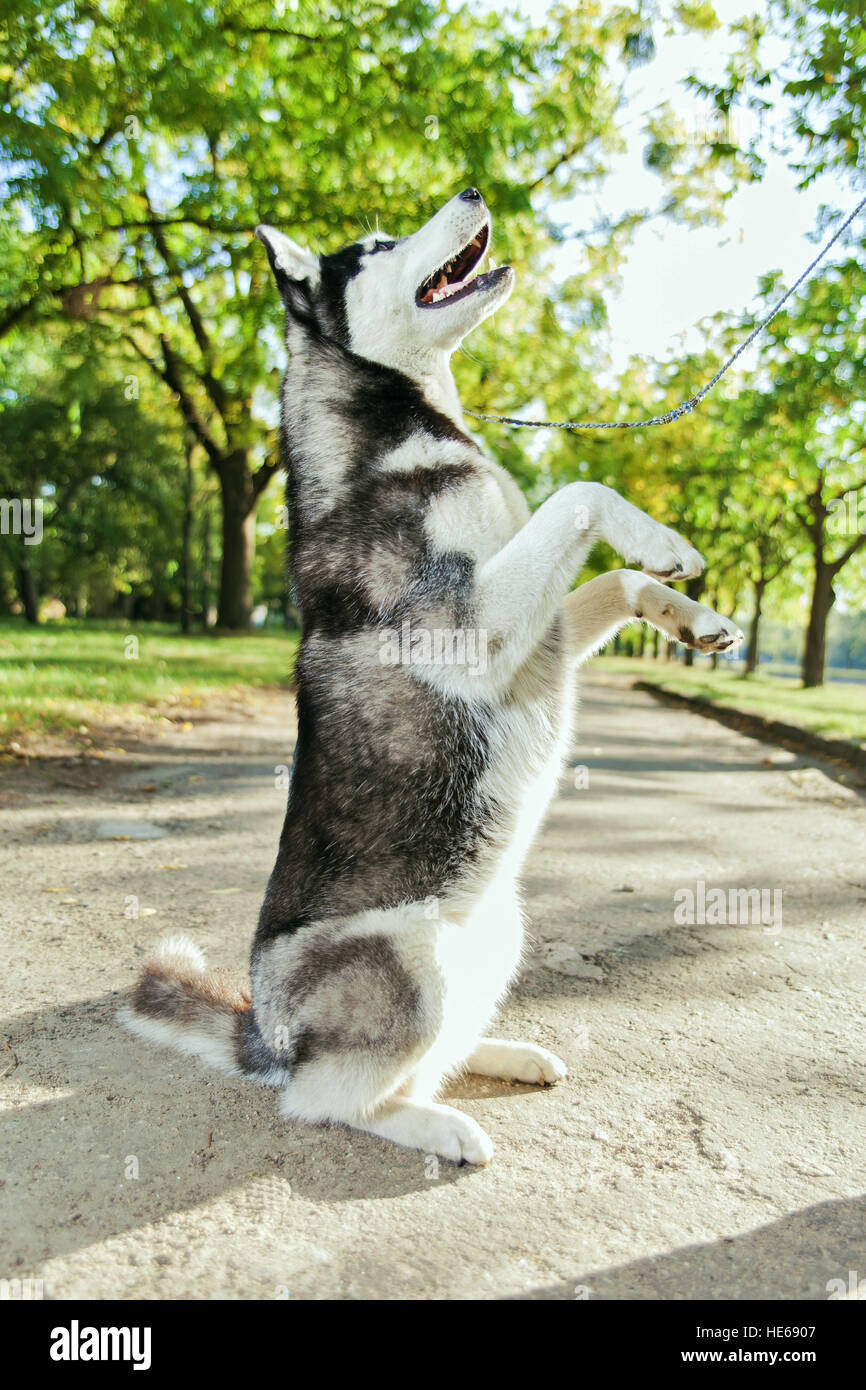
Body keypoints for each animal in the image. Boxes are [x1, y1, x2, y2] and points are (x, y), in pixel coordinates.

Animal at [123, 184, 745, 1162]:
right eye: (378, 244)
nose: (474, 190)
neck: (408, 421)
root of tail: (266, 1032)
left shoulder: (539, 632)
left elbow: (609, 574)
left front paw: (696, 616)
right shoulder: (470, 625)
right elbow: (583, 491)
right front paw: (662, 538)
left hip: (498, 928)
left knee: (434, 1051)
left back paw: (504, 1057)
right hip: (405, 960)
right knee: (325, 1098)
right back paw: (439, 1127)